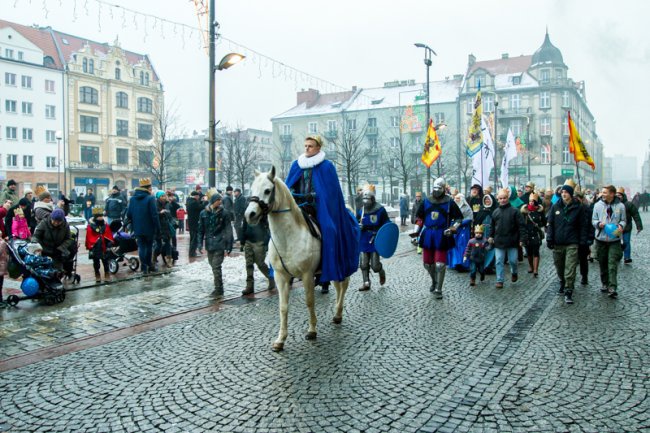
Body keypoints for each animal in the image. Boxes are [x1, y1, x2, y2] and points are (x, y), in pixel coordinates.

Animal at [244, 165, 350, 352]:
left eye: (267, 190)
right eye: (252, 189)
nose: (250, 214)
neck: (289, 238)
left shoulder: (307, 275)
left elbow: (309, 301)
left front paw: (312, 331)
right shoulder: (281, 277)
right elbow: (283, 307)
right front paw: (280, 340)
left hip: (341, 263)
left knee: (343, 285)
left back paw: (338, 314)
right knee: (338, 286)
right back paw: (337, 313)